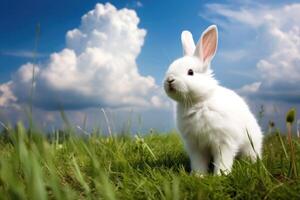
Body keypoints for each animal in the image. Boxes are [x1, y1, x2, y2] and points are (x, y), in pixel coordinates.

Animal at [164, 25, 262, 175]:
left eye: (190, 72)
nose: (169, 80)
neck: (198, 102)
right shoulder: (195, 146)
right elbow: (198, 162)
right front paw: (198, 175)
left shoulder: (223, 141)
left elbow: (223, 160)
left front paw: (220, 175)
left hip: (251, 144)